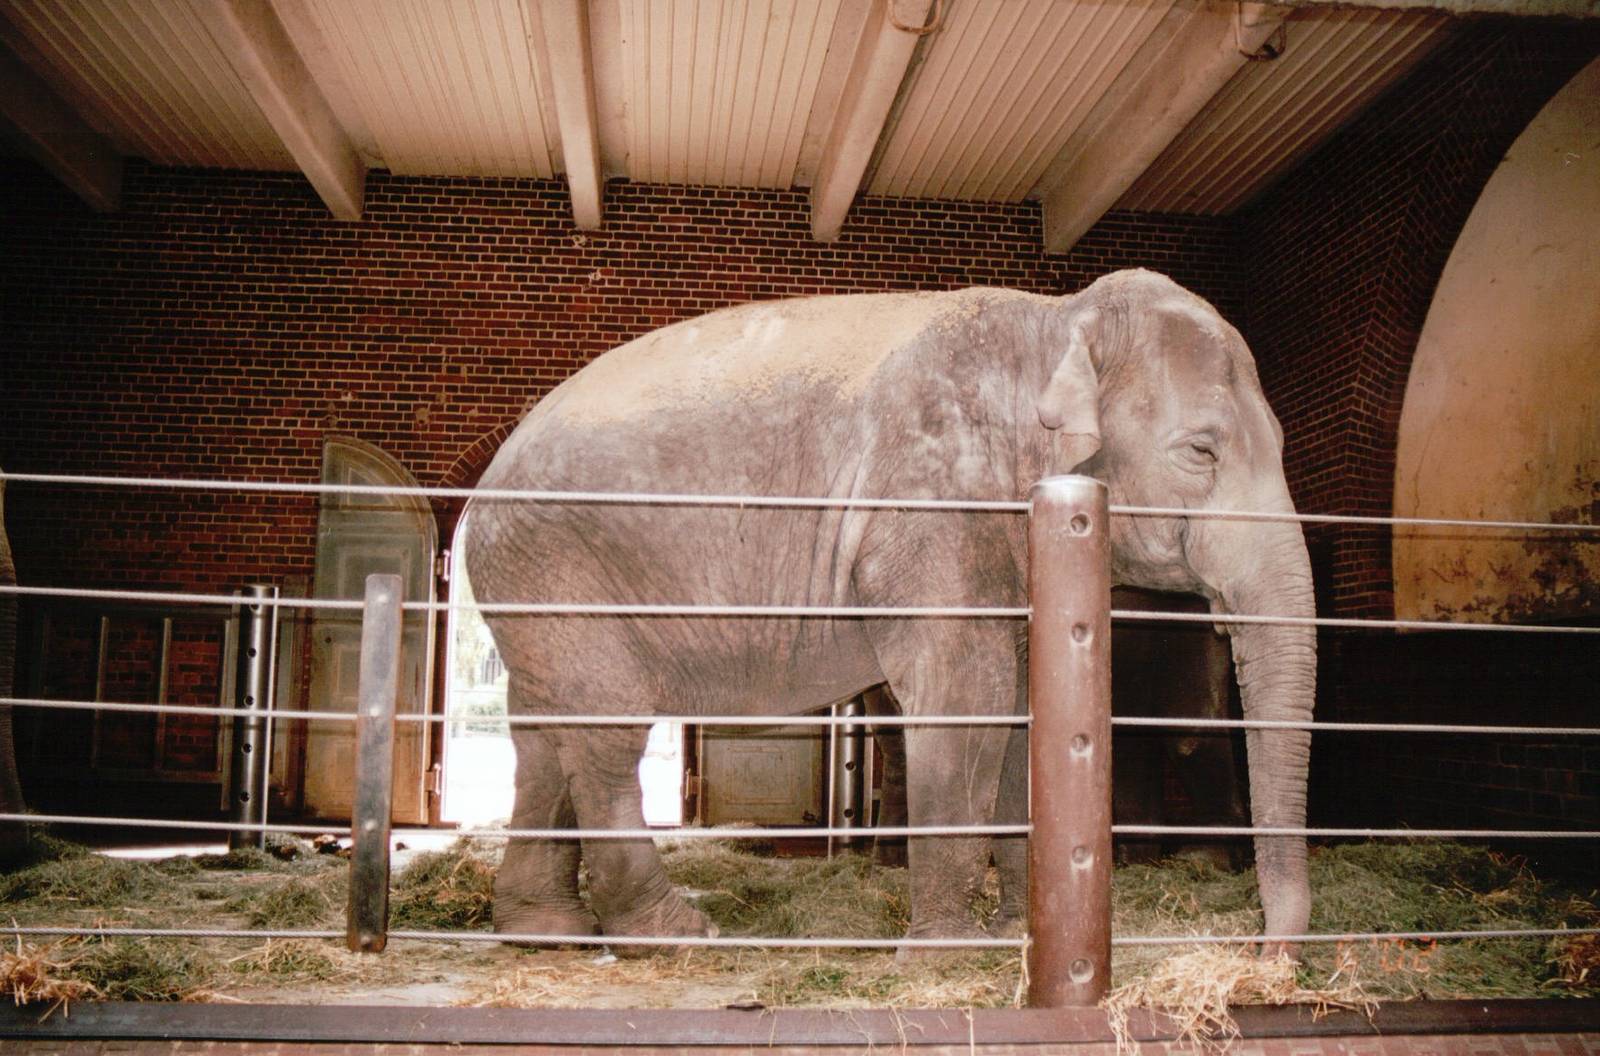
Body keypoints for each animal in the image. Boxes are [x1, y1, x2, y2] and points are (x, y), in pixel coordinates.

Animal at [465, 269, 1316, 955]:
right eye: (1201, 451)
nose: (1265, 952)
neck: (1057, 321)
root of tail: (488, 478)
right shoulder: (933, 501)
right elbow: (964, 692)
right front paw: (947, 952)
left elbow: (1019, 701)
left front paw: (1016, 932)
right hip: (565, 567)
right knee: (605, 735)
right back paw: (673, 935)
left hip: (533, 588)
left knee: (543, 736)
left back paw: (548, 932)